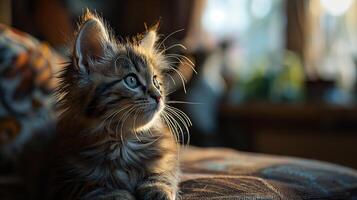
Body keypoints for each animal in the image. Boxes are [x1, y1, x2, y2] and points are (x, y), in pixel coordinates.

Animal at [50, 10, 189, 200]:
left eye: (156, 82)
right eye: (131, 80)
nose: (159, 96)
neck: (123, 142)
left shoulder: (168, 159)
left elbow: (162, 175)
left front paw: (157, 189)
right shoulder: (66, 179)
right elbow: (98, 186)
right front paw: (118, 194)